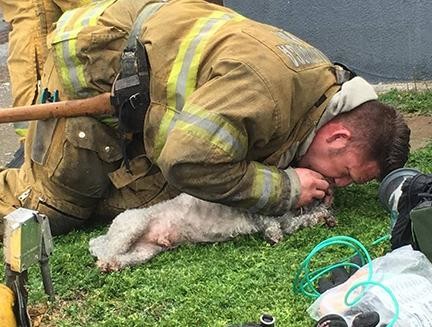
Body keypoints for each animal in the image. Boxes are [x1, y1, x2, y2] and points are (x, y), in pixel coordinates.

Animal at [89, 193, 336, 272]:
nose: (327, 200)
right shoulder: (257, 212)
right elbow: (272, 224)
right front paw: (274, 235)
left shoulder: (289, 222)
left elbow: (298, 223)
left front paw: (323, 218)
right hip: (132, 226)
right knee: (107, 252)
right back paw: (105, 263)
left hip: (144, 252)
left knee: (123, 258)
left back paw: (113, 266)